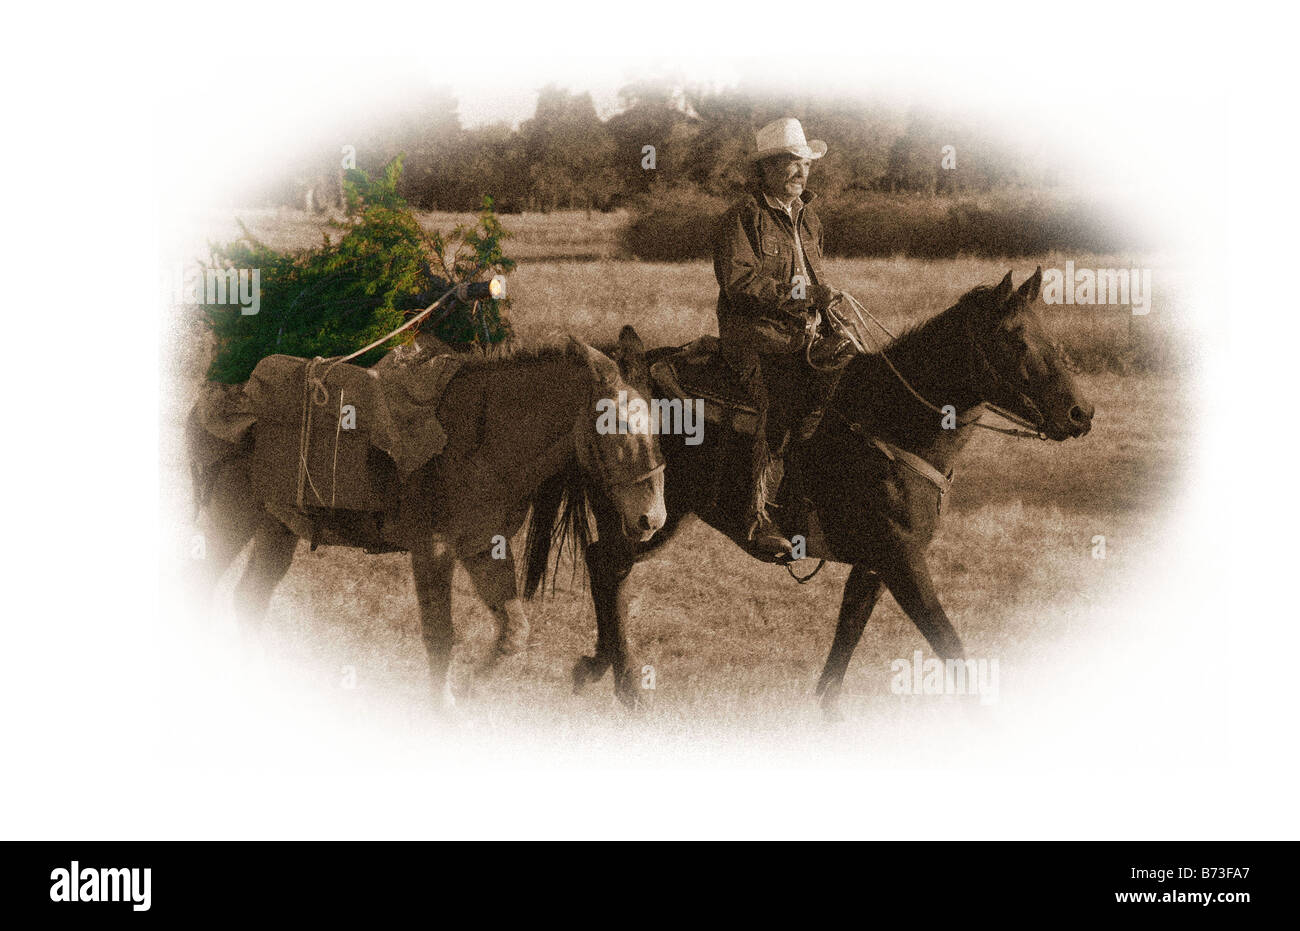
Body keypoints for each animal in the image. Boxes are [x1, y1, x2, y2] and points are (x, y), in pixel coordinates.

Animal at [188, 338, 665, 707]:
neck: (482, 440)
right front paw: (443, 706)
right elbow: (441, 635)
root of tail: (215, 399)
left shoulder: (484, 549)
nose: (652, 518)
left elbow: (513, 631)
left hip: (277, 528)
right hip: (233, 514)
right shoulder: (433, 550)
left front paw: (469, 687)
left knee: (249, 599)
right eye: (616, 425)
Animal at [527, 265, 1097, 717]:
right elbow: (947, 641)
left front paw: (827, 709)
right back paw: (625, 685)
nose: (1081, 413)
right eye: (1016, 337)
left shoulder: (876, 563)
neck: (890, 422)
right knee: (606, 567)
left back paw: (596, 667)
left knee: (608, 569)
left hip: (662, 518)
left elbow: (850, 629)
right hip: (638, 514)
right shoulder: (902, 560)